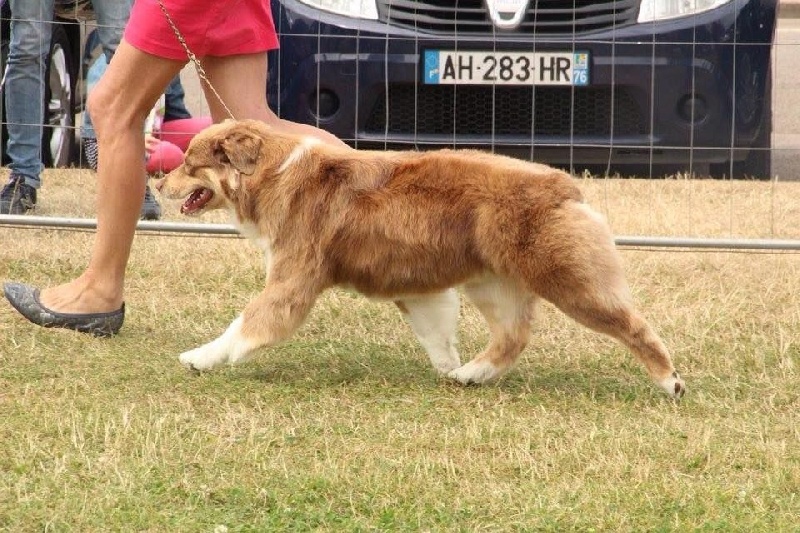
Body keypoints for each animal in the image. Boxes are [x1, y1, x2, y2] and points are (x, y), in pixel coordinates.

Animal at [158, 117, 688, 400]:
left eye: (188, 163)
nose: (159, 184)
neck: (272, 172)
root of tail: (564, 185)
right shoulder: (414, 287)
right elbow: (436, 334)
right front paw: (448, 366)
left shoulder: (293, 280)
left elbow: (247, 323)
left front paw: (201, 357)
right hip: (492, 284)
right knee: (513, 336)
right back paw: (471, 374)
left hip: (568, 280)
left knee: (633, 326)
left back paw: (670, 383)